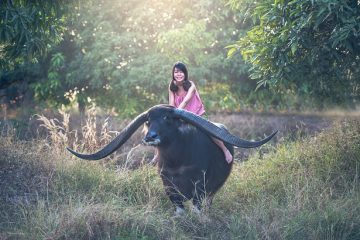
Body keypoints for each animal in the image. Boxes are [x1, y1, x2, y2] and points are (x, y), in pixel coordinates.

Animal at [66, 104, 278, 215]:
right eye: (148, 120)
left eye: (167, 118)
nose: (150, 136)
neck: (178, 162)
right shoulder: (168, 185)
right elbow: (179, 208)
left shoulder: (200, 187)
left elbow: (197, 207)